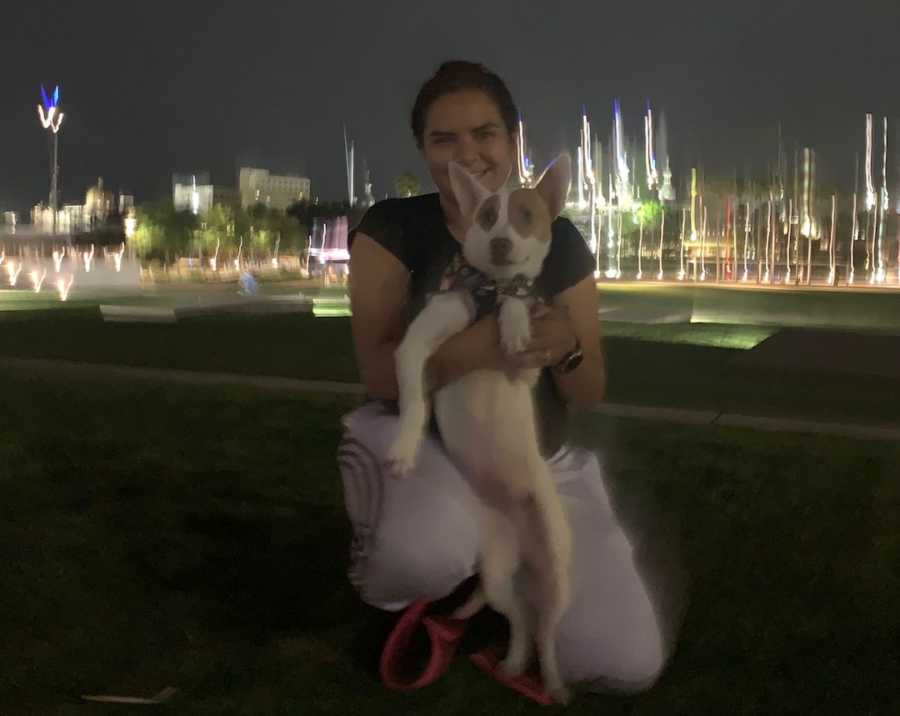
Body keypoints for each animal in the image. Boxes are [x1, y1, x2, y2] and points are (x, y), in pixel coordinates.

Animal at [388, 155, 576, 704]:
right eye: (488, 215)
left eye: (527, 215)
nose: (499, 243)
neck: (486, 290)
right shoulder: (416, 345)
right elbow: (413, 399)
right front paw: (404, 447)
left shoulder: (529, 365)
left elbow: (518, 308)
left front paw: (512, 323)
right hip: (495, 577)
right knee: (523, 621)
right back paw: (513, 662)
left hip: (559, 573)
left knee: (548, 633)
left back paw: (553, 683)